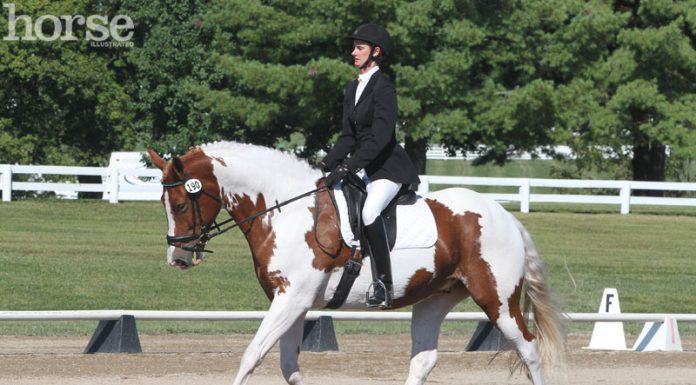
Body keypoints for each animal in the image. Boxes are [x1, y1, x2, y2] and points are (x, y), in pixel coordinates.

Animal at [148, 141, 564, 384]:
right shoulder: (292, 303)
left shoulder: (291, 299)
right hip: (436, 298)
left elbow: (252, 355)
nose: (178, 257)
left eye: (181, 205)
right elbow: (288, 367)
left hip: (497, 299)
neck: (285, 210)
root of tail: (505, 217)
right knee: (423, 359)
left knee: (529, 350)